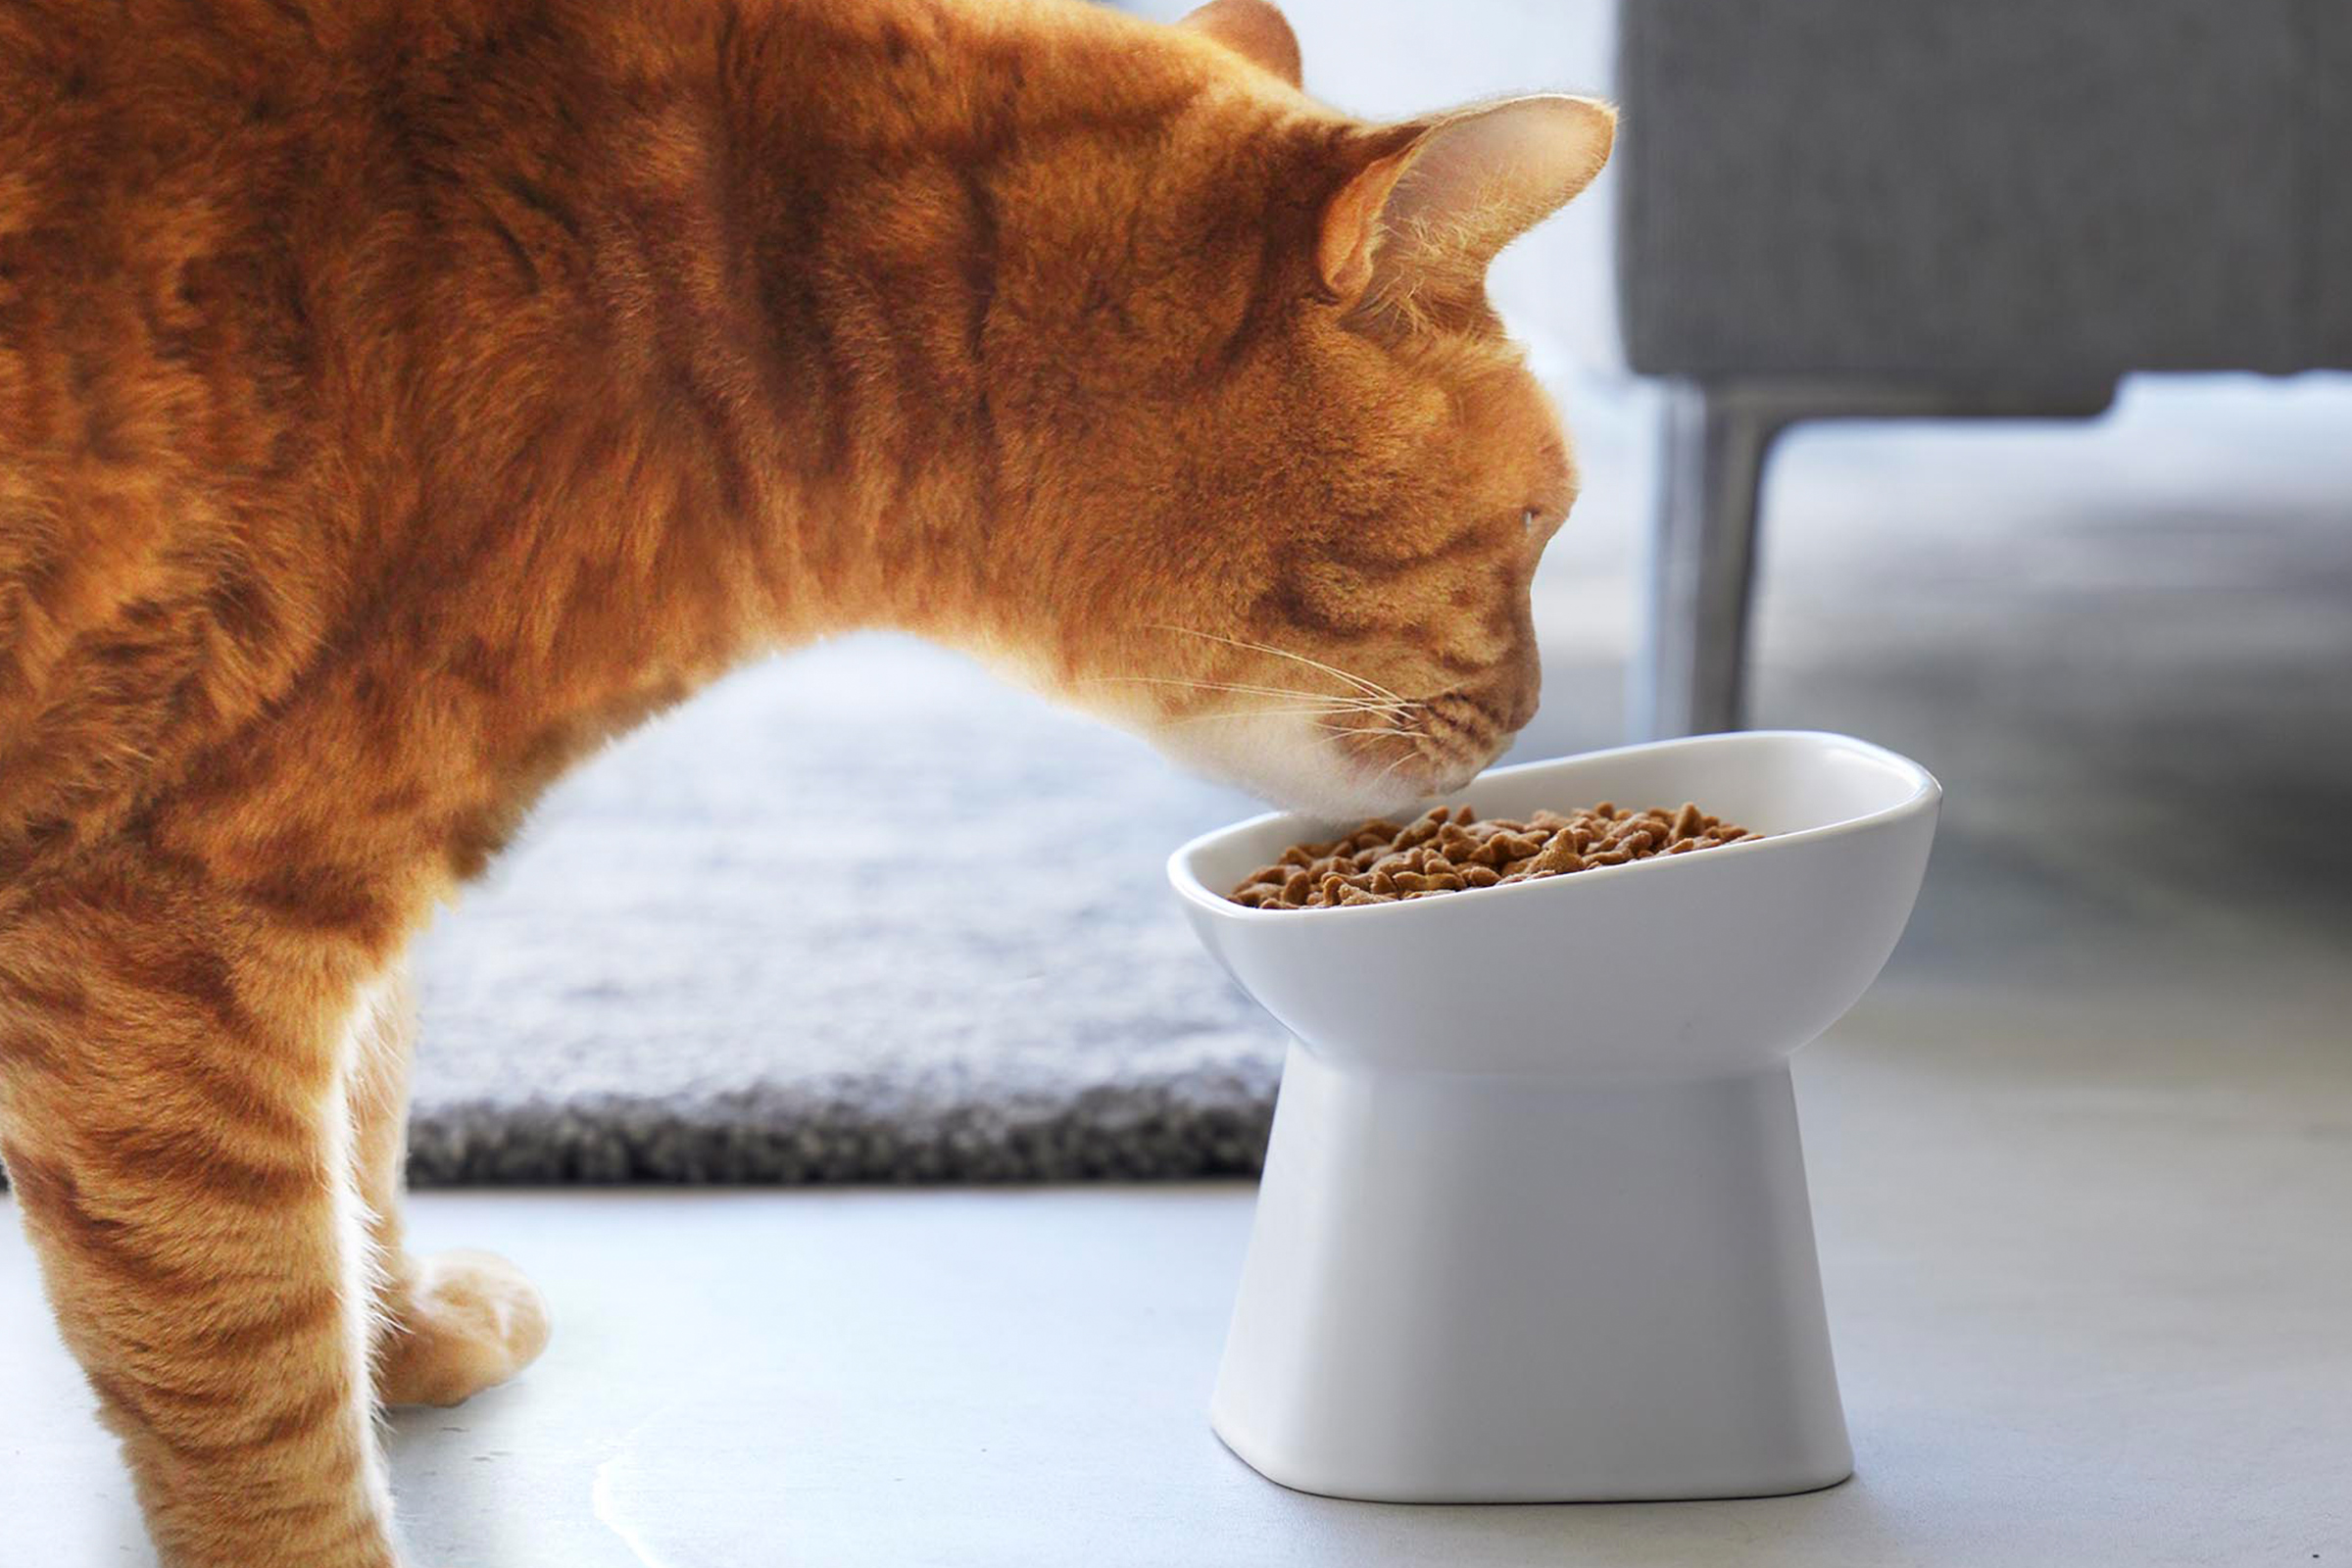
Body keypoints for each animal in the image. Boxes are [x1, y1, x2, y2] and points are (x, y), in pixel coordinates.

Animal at [0, 0, 1608, 1560]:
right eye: (1539, 524)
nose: (1535, 714)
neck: (703, 302)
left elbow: (367, 1119)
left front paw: (400, 1331)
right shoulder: (178, 929)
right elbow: (255, 1351)